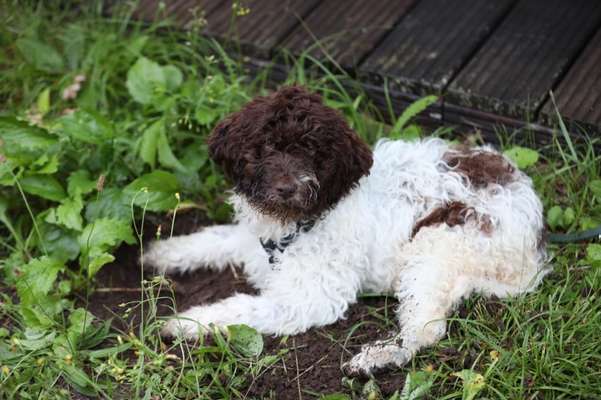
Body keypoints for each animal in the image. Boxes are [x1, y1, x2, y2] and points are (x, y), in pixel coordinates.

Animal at [143, 85, 548, 376]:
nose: (288, 187)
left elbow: (244, 308)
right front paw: (164, 252)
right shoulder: (249, 239)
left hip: (438, 244)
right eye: (266, 146)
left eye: (313, 152)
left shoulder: (311, 298)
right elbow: (215, 238)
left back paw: (378, 358)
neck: (296, 224)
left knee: (426, 329)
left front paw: (187, 322)